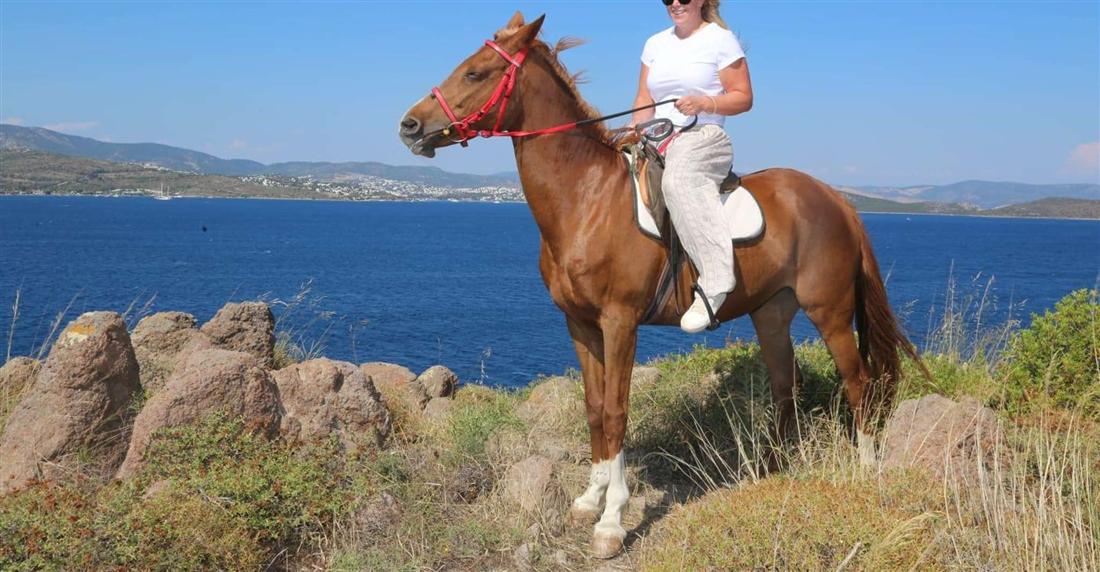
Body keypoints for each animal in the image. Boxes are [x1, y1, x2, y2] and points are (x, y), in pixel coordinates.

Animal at [398, 12, 925, 559]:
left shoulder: (620, 321)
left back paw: (864, 470)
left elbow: (616, 411)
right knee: (786, 385)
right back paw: (770, 474)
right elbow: (593, 409)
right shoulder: (579, 325)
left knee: (858, 383)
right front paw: (589, 498)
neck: (586, 199)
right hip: (772, 313)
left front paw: (611, 521)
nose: (409, 125)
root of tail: (837, 199)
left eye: (475, 73)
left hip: (831, 312)